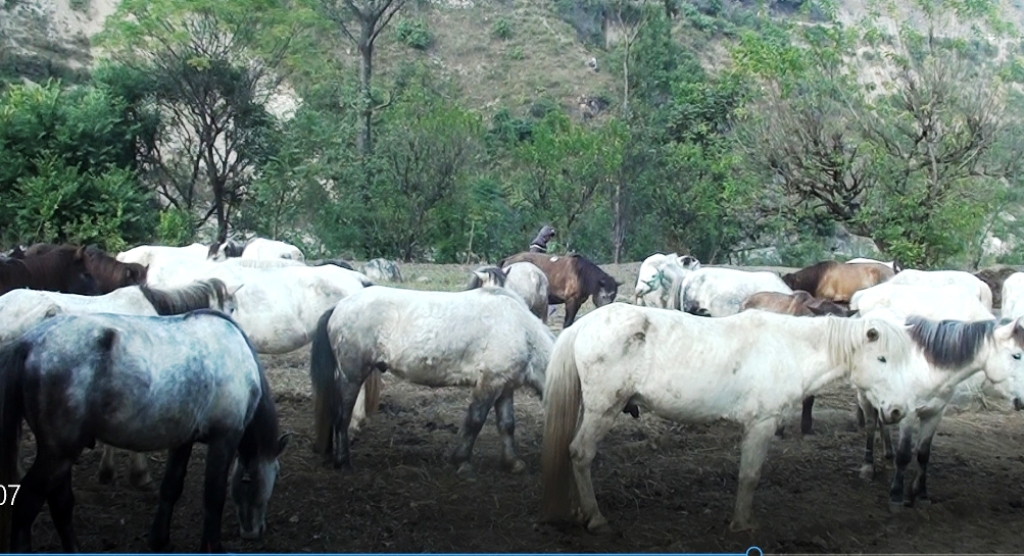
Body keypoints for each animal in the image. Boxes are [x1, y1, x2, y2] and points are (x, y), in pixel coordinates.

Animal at [1, 309, 288, 552]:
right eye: (272, 473)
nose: (254, 532)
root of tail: (30, 343)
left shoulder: (183, 440)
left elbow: (172, 486)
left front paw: (159, 540)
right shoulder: (224, 439)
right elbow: (213, 496)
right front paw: (212, 547)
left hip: (60, 456)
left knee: (60, 504)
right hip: (58, 453)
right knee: (26, 503)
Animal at [309, 284, 557, 477]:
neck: (520, 328)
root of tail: (338, 307)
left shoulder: (504, 387)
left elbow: (507, 425)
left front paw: (512, 463)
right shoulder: (489, 383)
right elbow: (475, 422)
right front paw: (462, 462)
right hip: (352, 376)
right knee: (342, 417)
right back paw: (343, 463)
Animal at [540, 305, 917, 536]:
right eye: (882, 359)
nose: (898, 411)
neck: (787, 349)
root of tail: (584, 324)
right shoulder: (761, 424)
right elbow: (749, 476)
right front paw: (743, 523)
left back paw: (578, 511)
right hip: (603, 410)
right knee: (580, 454)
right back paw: (596, 518)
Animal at [851, 311, 1024, 511]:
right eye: (1017, 355)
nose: (1023, 400)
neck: (926, 370)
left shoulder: (935, 414)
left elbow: (923, 454)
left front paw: (921, 494)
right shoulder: (909, 415)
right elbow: (904, 455)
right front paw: (896, 496)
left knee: (882, 421)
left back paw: (888, 452)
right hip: (864, 395)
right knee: (871, 426)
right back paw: (867, 467)